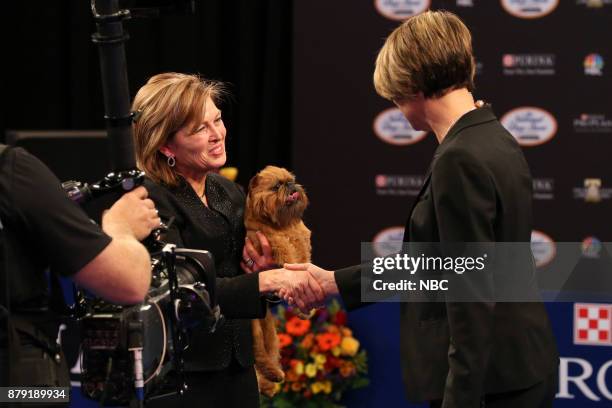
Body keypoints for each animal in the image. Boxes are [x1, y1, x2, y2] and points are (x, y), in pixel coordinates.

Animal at [244, 165, 310, 396]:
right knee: (259, 357)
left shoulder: (301, 242)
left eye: (290, 180)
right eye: (276, 187)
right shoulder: (277, 245)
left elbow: (304, 260)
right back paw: (272, 378)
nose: (291, 186)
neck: (283, 225)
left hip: (270, 333)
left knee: (268, 356)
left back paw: (271, 383)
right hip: (255, 331)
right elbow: (289, 261)